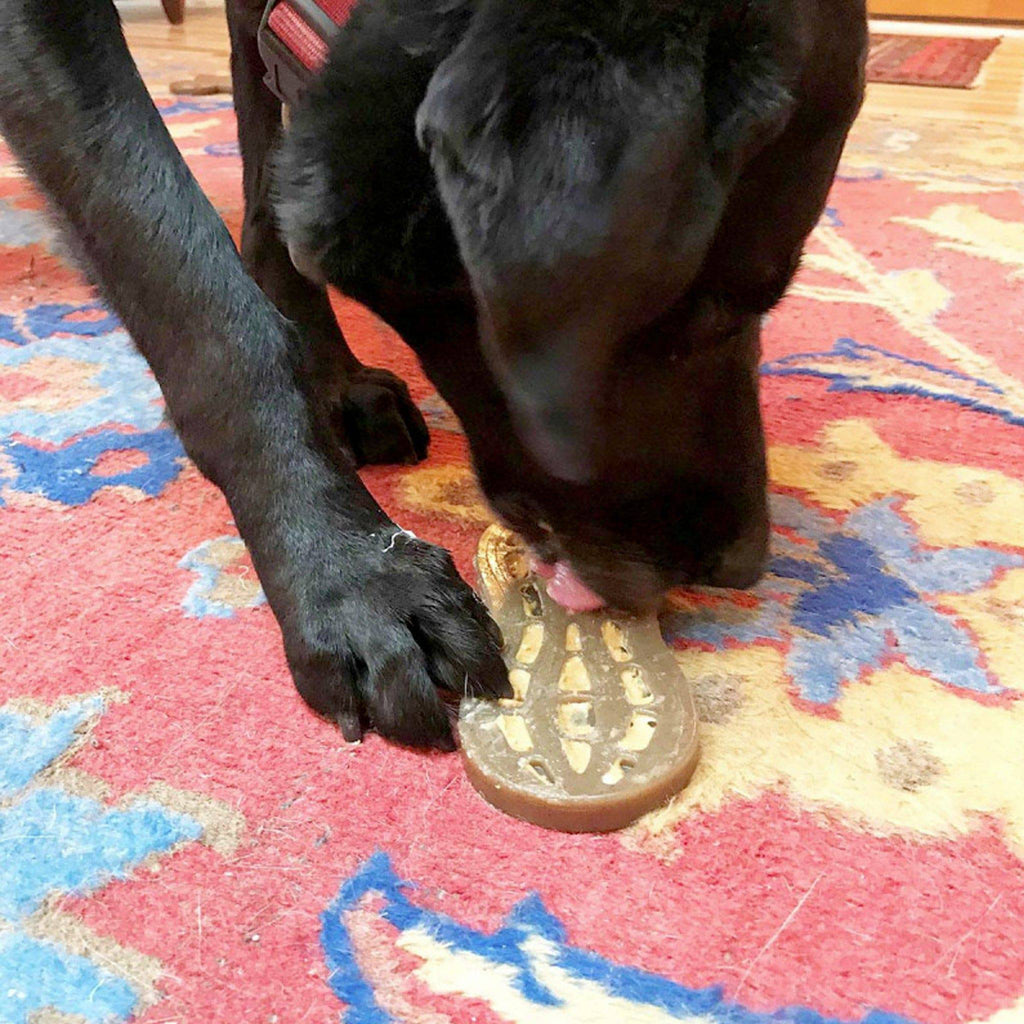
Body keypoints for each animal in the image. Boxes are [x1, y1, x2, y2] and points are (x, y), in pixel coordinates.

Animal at [0, 0, 864, 749]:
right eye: (712, 310)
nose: (741, 566)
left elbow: (271, 201)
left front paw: (335, 383)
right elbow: (193, 282)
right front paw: (348, 568)